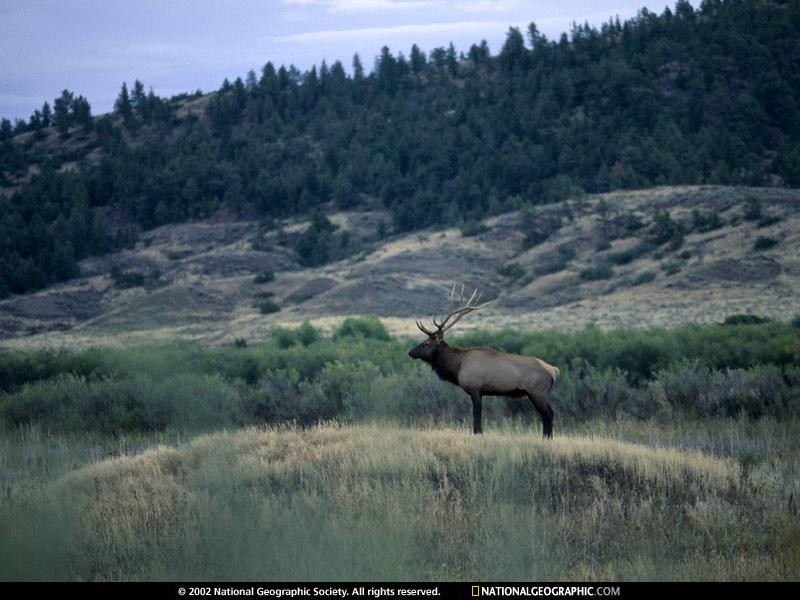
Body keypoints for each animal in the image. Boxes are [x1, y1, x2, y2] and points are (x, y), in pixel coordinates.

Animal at [410, 286, 560, 436]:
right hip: (538, 394)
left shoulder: (475, 388)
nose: (410, 352)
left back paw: (547, 437)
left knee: (548, 414)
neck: (457, 366)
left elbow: (477, 414)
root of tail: (554, 370)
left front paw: (478, 432)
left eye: (426, 343)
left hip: (537, 392)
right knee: (548, 414)